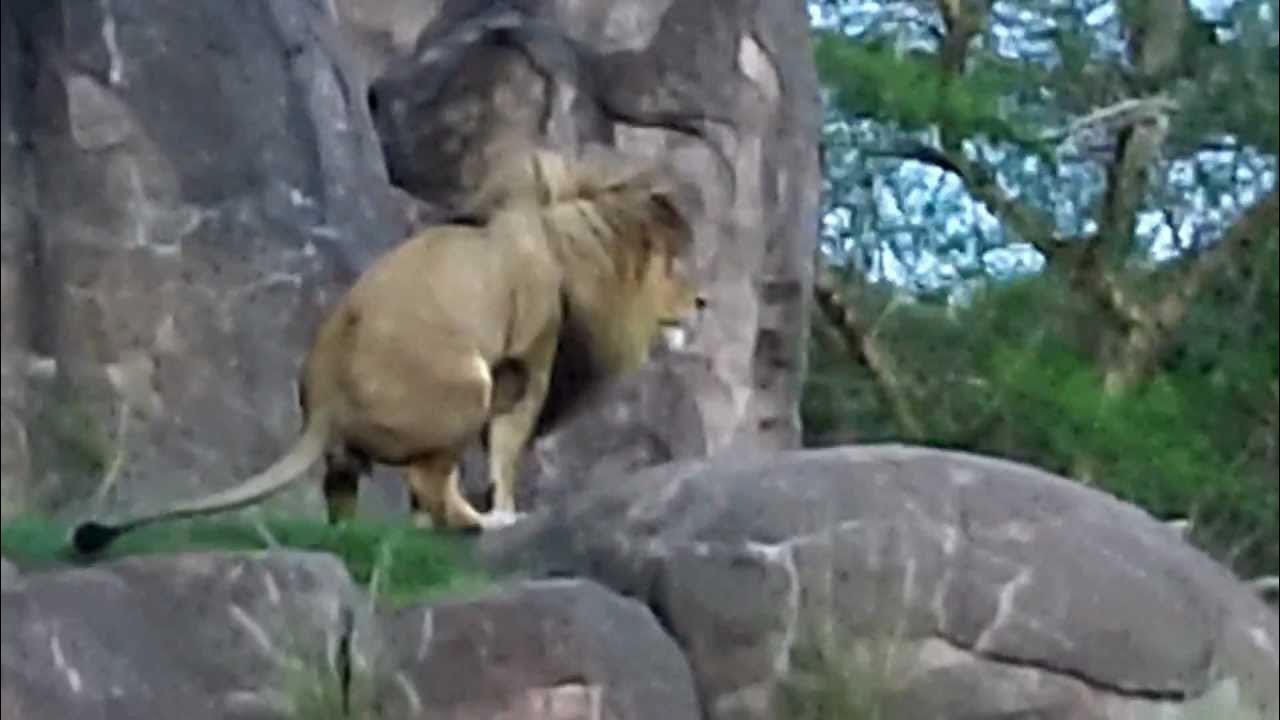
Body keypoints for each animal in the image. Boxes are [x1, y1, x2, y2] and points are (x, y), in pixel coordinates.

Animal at [71, 141, 705, 555]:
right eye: (674, 265)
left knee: (346, 495)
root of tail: (324, 401)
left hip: (360, 449)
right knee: (430, 479)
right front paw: (505, 511)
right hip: (466, 384)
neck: (562, 238)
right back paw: (478, 526)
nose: (702, 302)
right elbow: (506, 447)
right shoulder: (526, 362)